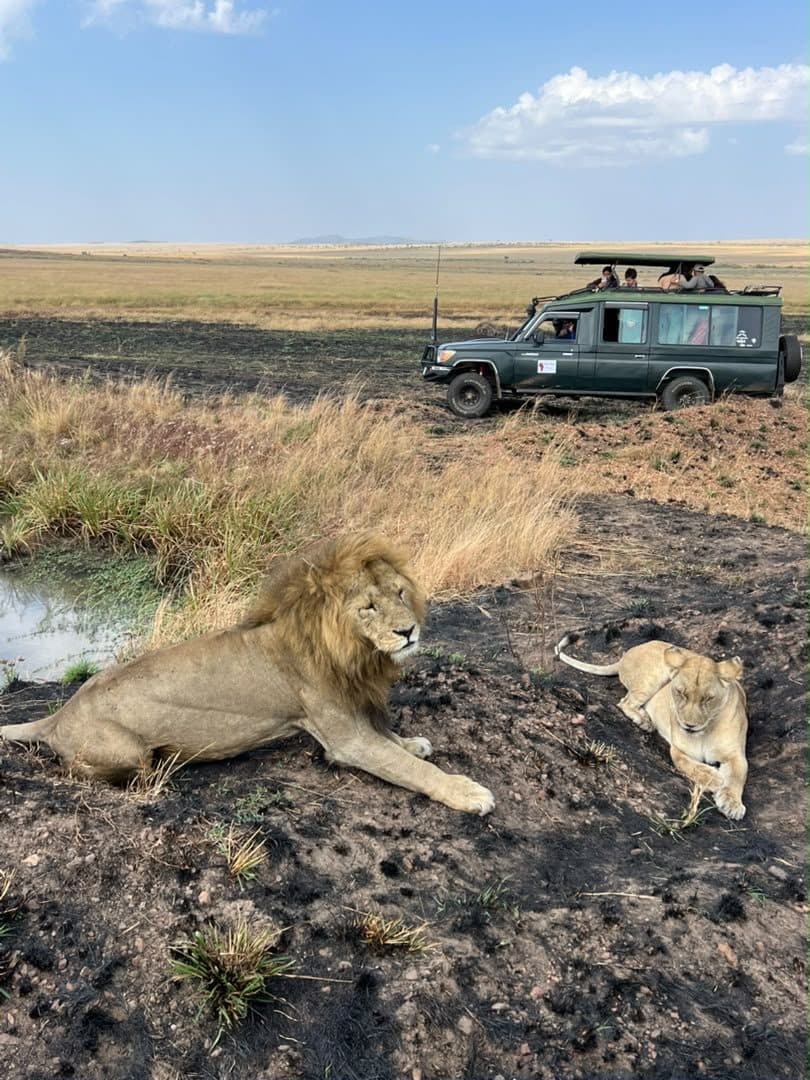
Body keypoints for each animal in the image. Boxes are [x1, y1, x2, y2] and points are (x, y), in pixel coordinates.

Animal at [0, 533, 494, 816]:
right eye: (369, 607)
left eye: (400, 593)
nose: (408, 631)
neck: (351, 651)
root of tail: (60, 715)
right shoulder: (344, 739)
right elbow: (408, 768)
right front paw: (467, 792)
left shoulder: (354, 714)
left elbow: (394, 743)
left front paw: (413, 742)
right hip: (126, 752)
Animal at [554, 634, 748, 819]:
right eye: (680, 693)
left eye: (708, 699)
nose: (689, 726)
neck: (704, 732)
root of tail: (627, 653)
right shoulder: (677, 750)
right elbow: (687, 765)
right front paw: (714, 778)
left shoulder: (735, 754)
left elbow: (737, 777)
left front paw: (731, 804)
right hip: (654, 676)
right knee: (625, 702)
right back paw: (644, 721)